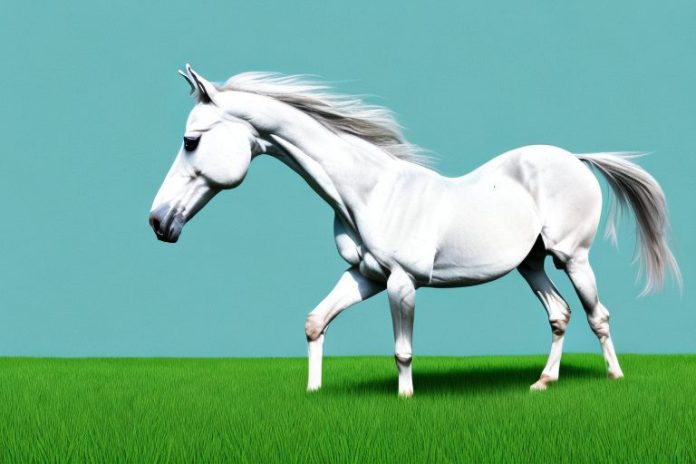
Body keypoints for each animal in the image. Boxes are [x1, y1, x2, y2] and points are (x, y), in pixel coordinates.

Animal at [149, 65, 681, 396]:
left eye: (190, 141)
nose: (158, 222)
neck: (369, 191)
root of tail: (575, 158)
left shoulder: (402, 283)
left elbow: (402, 350)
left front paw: (406, 400)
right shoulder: (363, 276)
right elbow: (316, 322)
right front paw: (314, 391)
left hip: (573, 257)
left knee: (598, 315)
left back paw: (614, 377)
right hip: (530, 264)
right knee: (560, 314)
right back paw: (542, 382)